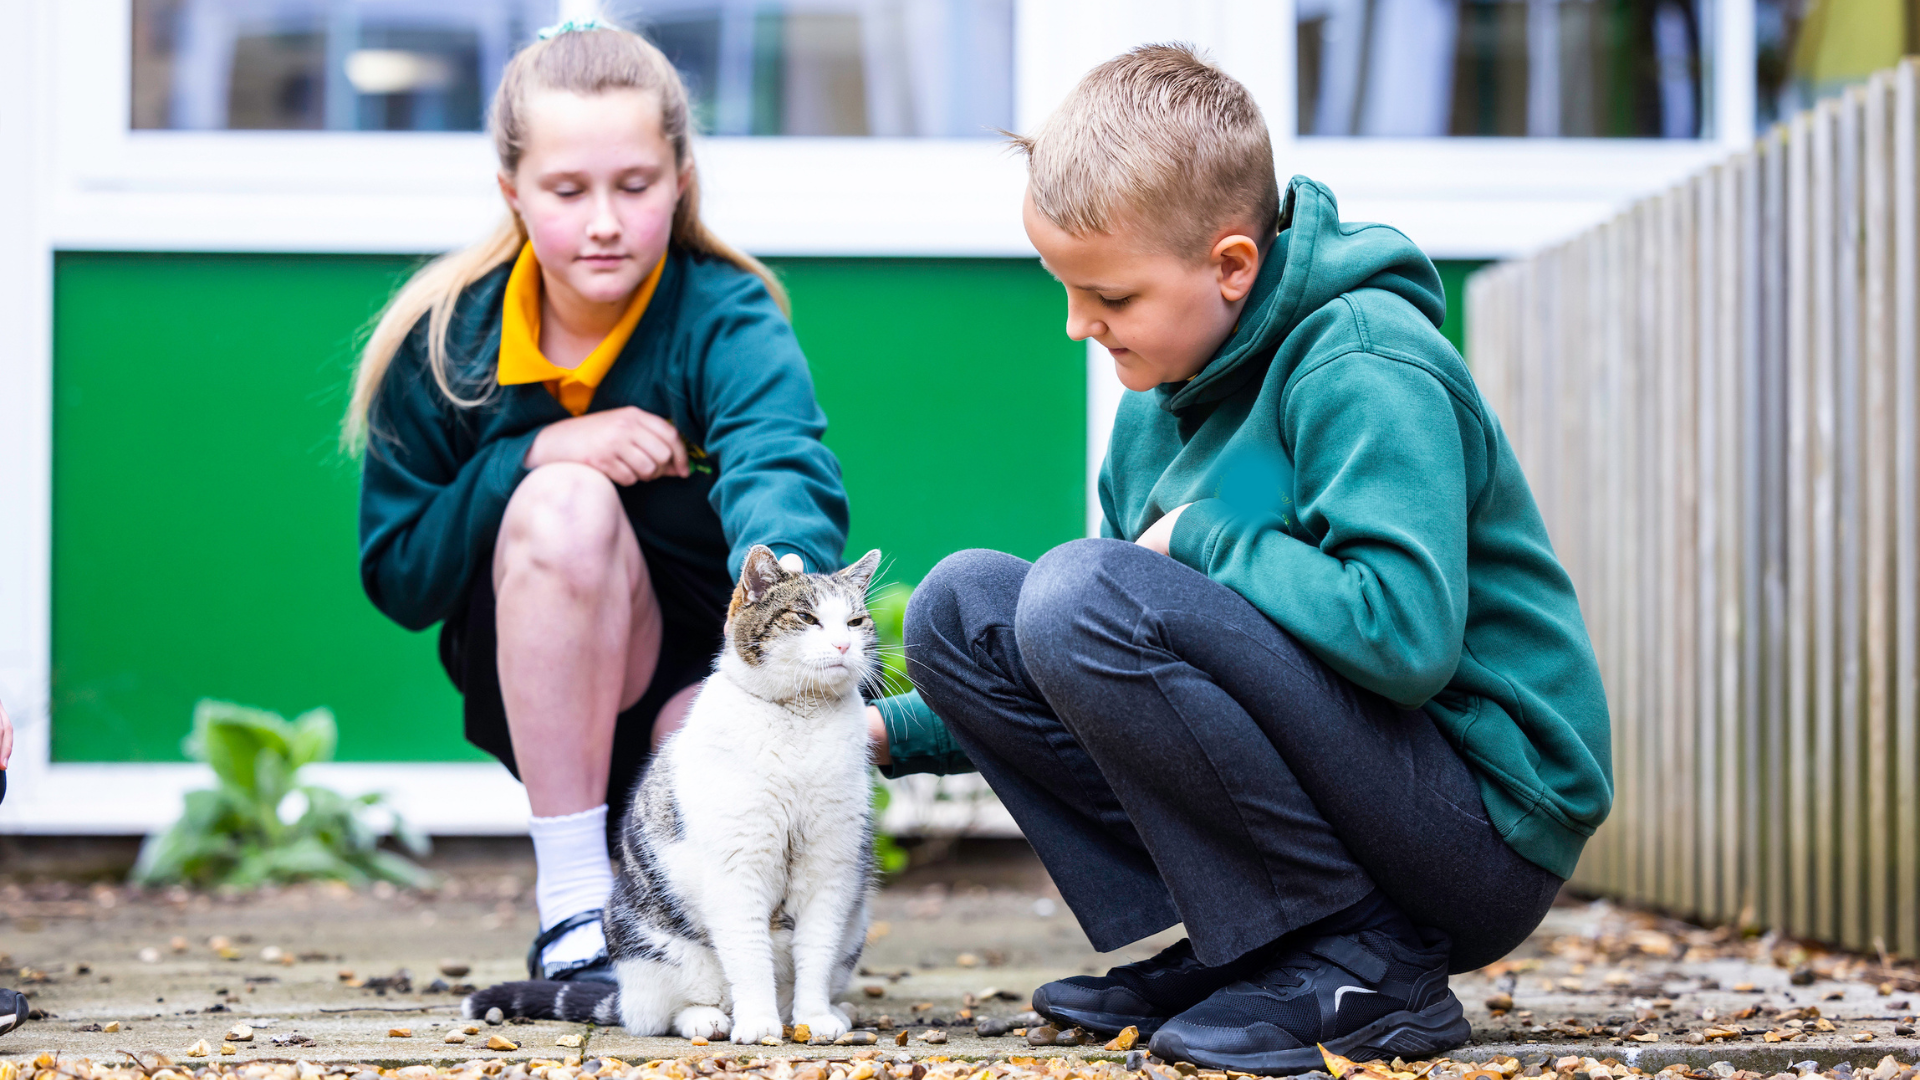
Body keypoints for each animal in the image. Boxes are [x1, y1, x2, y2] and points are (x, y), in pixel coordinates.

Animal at [464, 541, 883, 1037]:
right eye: (806, 617)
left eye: (855, 622)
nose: (843, 644)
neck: (801, 719)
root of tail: (622, 996)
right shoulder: (737, 869)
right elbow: (749, 957)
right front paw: (758, 1025)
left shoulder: (830, 870)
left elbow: (815, 954)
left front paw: (816, 1018)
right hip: (656, 948)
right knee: (666, 1011)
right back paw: (712, 1020)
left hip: (854, 926)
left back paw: (829, 1012)